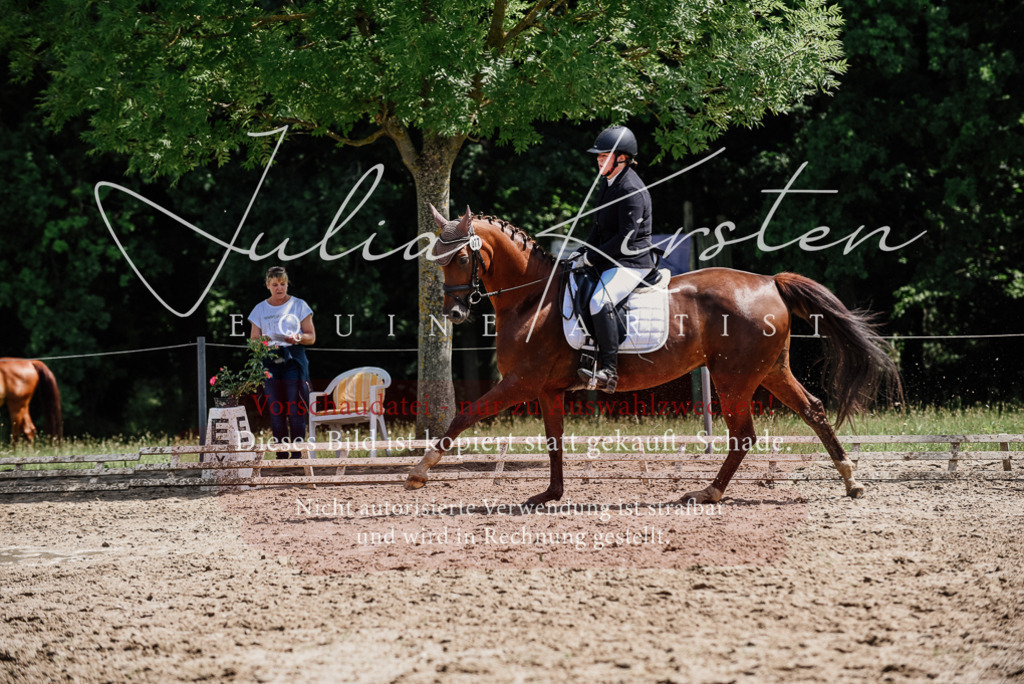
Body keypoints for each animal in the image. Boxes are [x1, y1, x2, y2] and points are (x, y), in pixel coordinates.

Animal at [405, 206, 901, 506]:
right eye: (437, 259)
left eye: (460, 258)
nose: (453, 312)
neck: (532, 298)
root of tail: (768, 282)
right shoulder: (547, 389)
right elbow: (554, 441)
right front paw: (551, 495)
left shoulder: (520, 382)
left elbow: (463, 416)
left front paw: (418, 472)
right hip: (771, 371)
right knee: (813, 411)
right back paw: (850, 479)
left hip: (734, 378)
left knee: (743, 435)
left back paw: (708, 492)